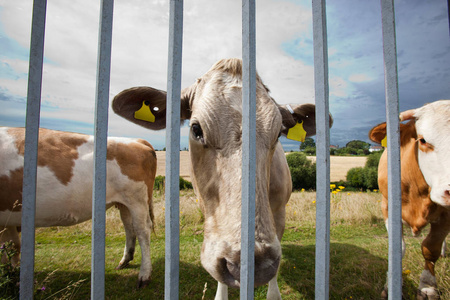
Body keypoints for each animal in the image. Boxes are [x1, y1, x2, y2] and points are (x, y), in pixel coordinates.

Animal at [0, 125, 157, 288]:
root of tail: (137, 141)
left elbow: (12, 246)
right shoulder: (8, 220)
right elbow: (12, 245)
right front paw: (10, 275)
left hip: (137, 201)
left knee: (143, 230)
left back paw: (144, 275)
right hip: (124, 202)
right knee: (129, 226)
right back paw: (125, 261)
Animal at [370, 99, 450, 298]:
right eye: (422, 140)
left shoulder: (446, 215)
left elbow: (430, 249)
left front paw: (428, 287)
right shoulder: (387, 207)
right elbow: (398, 248)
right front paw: (390, 285)